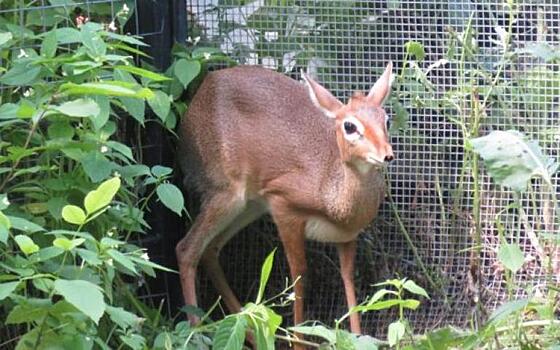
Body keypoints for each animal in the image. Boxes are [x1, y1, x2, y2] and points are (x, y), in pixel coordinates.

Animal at [177, 62, 396, 342]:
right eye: (349, 126)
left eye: (386, 119)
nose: (387, 155)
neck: (333, 195)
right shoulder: (284, 209)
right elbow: (299, 274)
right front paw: (299, 340)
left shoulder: (347, 237)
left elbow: (348, 278)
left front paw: (357, 337)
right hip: (226, 195)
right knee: (186, 249)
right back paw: (195, 332)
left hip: (249, 207)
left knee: (209, 250)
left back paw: (250, 334)